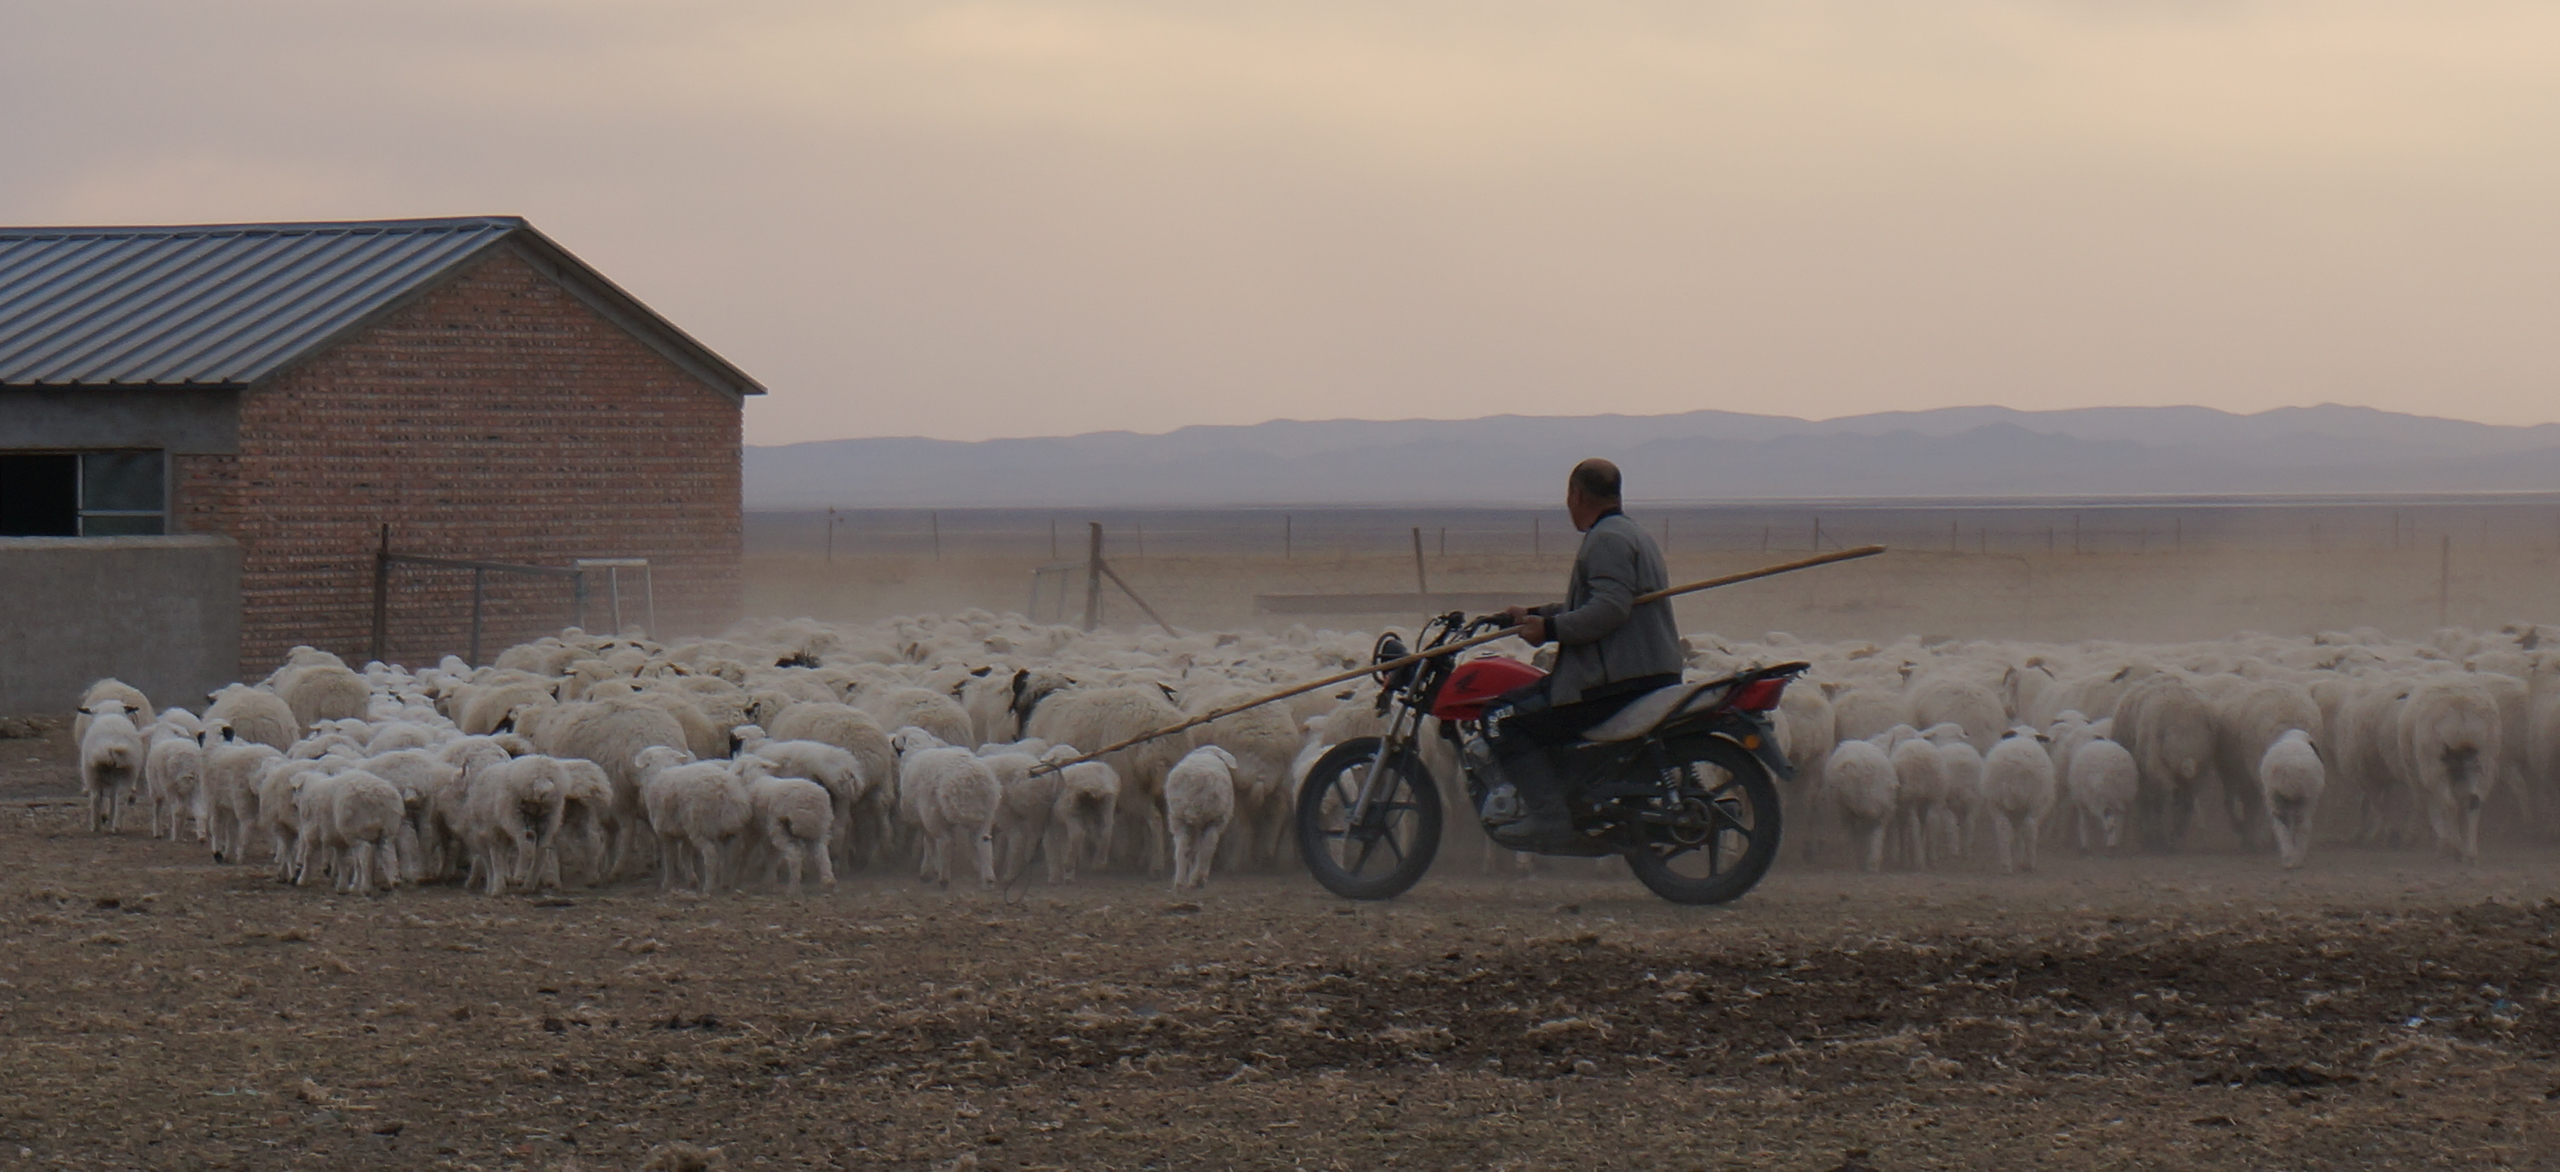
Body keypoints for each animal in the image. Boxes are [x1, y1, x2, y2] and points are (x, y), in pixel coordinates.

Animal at [1162, 747, 1239, 890]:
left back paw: (1180, 882)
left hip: (1178, 816)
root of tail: (1194, 779)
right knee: (1208, 846)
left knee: (1183, 847)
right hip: (1212, 816)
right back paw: (1198, 879)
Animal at [1976, 726, 2058, 875]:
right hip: (2035, 800)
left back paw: (2006, 865)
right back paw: (2030, 864)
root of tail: (2016, 763)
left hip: (1995, 800)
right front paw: (2021, 860)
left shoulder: (2016, 811)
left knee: (2003, 826)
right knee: (2030, 826)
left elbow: (2018, 833)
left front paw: (2018, 857)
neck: (2024, 736)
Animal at [2263, 726, 2324, 864]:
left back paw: (2289, 856)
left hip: (2274, 796)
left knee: (2281, 824)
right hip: (2305, 797)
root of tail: (2285, 770)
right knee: (2302, 823)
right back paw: (2298, 857)